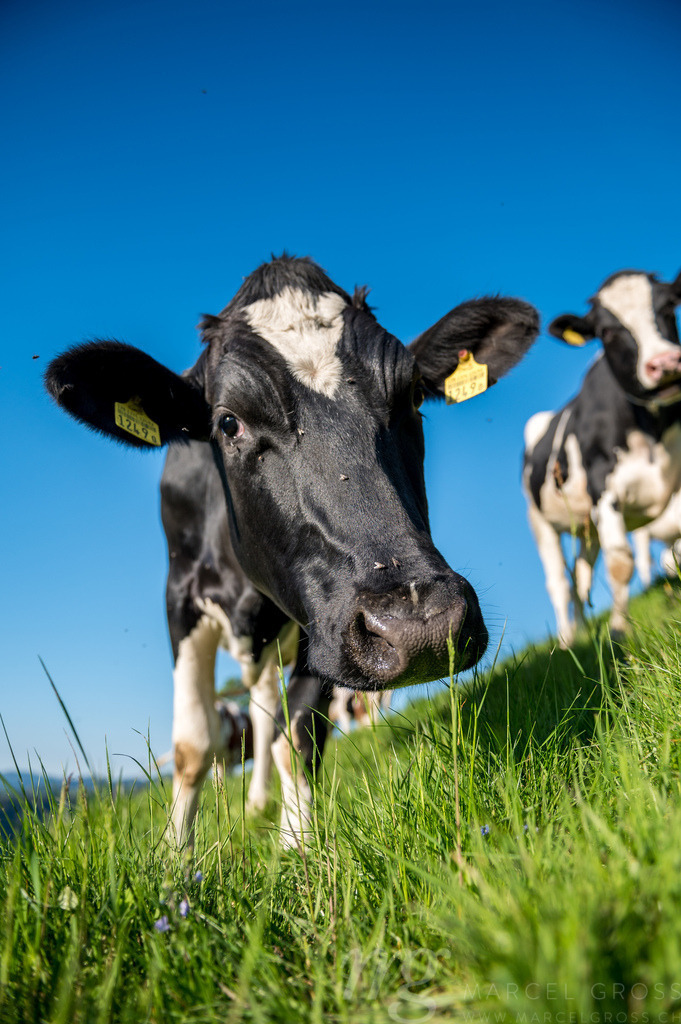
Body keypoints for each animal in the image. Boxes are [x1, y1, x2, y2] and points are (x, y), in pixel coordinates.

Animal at [45, 255, 539, 848]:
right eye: (228, 422)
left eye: (413, 397)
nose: (420, 627)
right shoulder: (180, 596)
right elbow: (193, 746)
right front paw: (174, 856)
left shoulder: (320, 617)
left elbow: (298, 734)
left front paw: (299, 847)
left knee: (266, 712)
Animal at [523, 268, 681, 647]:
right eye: (607, 331)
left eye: (669, 306)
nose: (665, 363)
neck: (652, 427)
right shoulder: (604, 489)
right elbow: (621, 563)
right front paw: (620, 631)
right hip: (540, 522)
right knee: (560, 583)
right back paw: (566, 640)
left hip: (586, 527)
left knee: (580, 576)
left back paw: (581, 632)